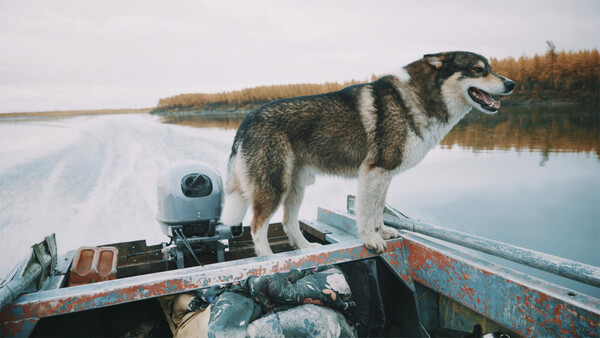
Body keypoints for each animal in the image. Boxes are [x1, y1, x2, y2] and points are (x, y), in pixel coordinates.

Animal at [220, 51, 516, 255]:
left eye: (490, 68)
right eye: (478, 70)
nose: (512, 84)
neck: (414, 99)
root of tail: (247, 120)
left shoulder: (384, 175)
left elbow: (378, 209)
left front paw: (381, 232)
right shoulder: (375, 171)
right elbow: (366, 212)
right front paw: (371, 240)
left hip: (296, 187)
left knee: (289, 224)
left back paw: (306, 248)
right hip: (274, 187)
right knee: (257, 227)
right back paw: (268, 258)